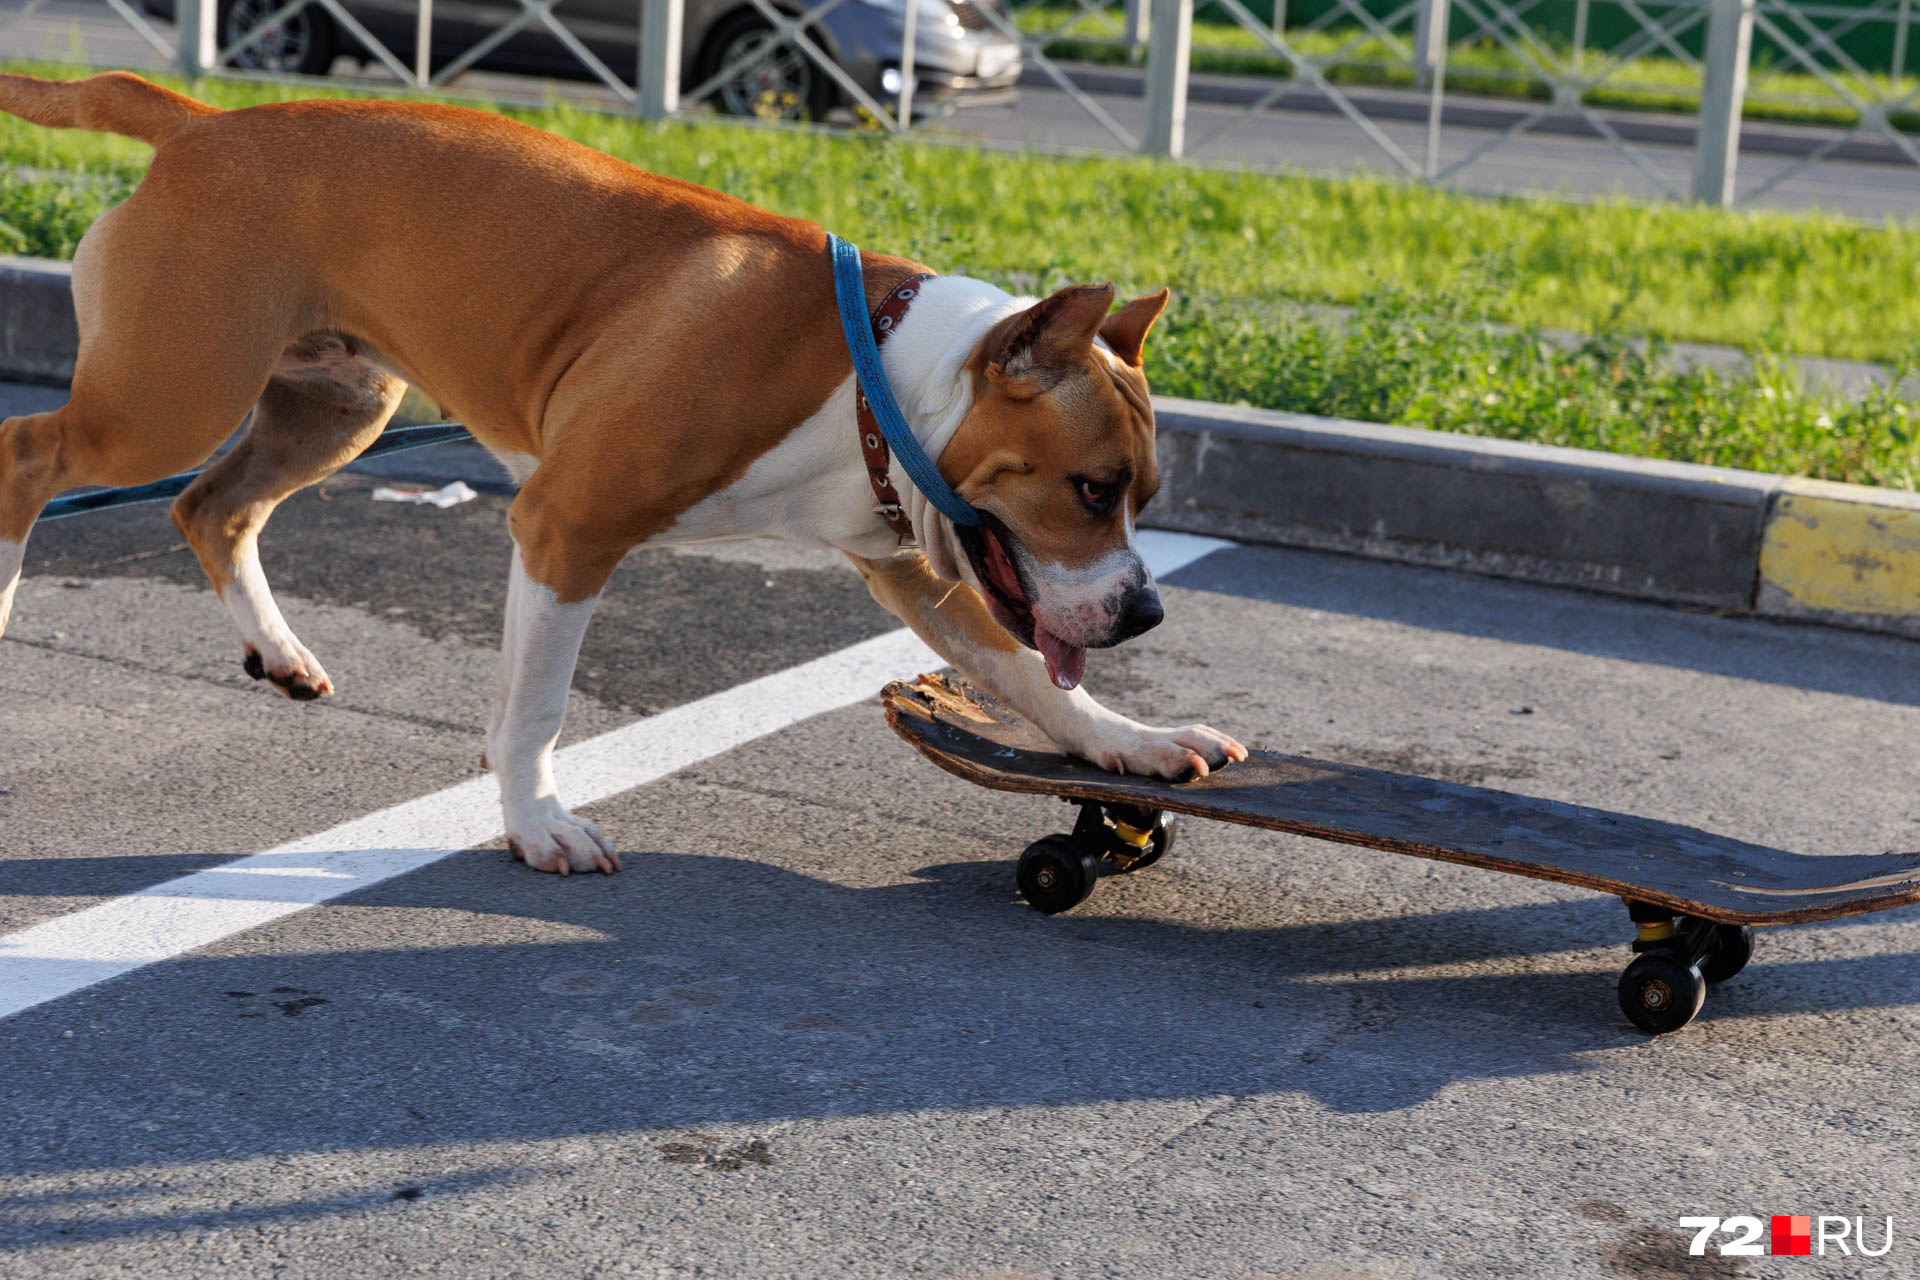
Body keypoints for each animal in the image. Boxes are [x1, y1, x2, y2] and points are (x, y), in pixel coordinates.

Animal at [0, 70, 1244, 871]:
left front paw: (1129, 743)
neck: (879, 372)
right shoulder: (569, 525)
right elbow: (544, 701)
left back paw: (283, 650)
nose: (1144, 612)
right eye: (1090, 489)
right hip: (166, 398)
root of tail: (205, 123)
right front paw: (539, 820)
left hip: (334, 405)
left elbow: (1030, 674)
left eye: (1144, 498)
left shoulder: (914, 571)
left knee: (212, 507)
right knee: (33, 455)